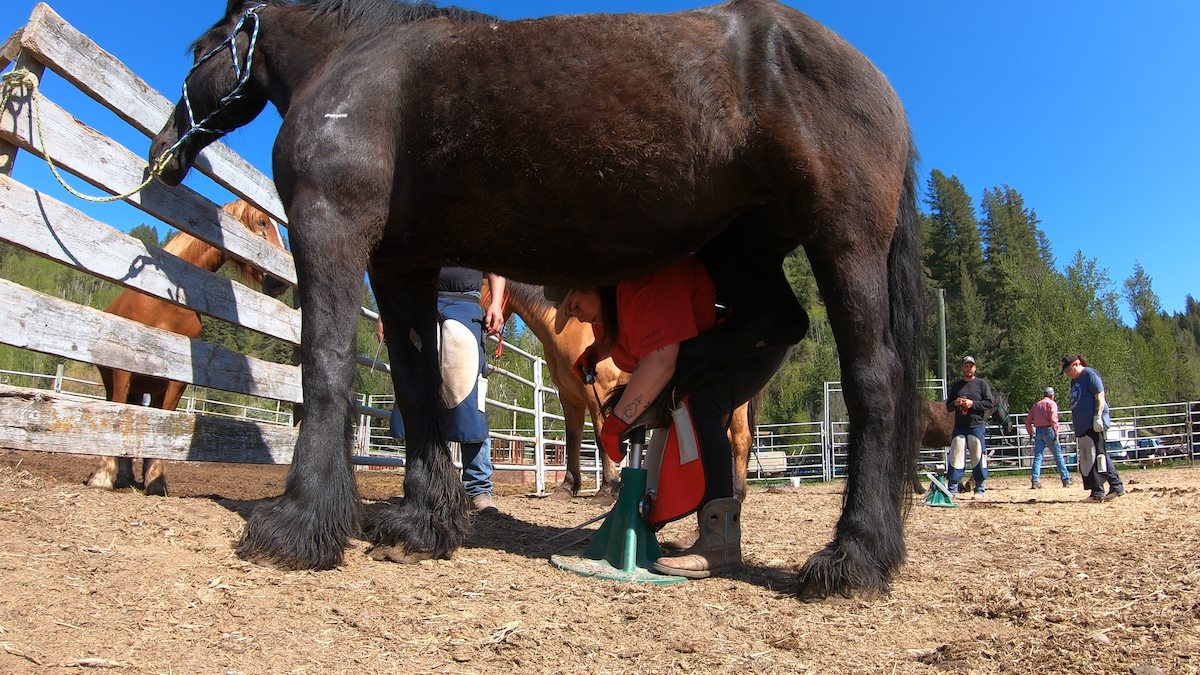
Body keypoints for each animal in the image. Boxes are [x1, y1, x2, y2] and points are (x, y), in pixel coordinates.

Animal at [87, 199, 288, 494]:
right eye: (262, 222)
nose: (281, 281)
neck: (165, 305)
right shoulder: (123, 366)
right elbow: (118, 415)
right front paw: (102, 477)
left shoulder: (177, 379)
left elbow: (165, 422)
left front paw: (156, 481)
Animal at [147, 0, 916, 598]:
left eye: (200, 49)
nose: (163, 151)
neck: (355, 62)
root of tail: (870, 76)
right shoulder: (401, 265)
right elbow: (418, 386)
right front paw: (420, 524)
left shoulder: (330, 226)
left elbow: (325, 367)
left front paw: (299, 525)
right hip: (742, 250)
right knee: (773, 322)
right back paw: (686, 380)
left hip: (842, 239)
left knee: (875, 380)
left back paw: (853, 557)